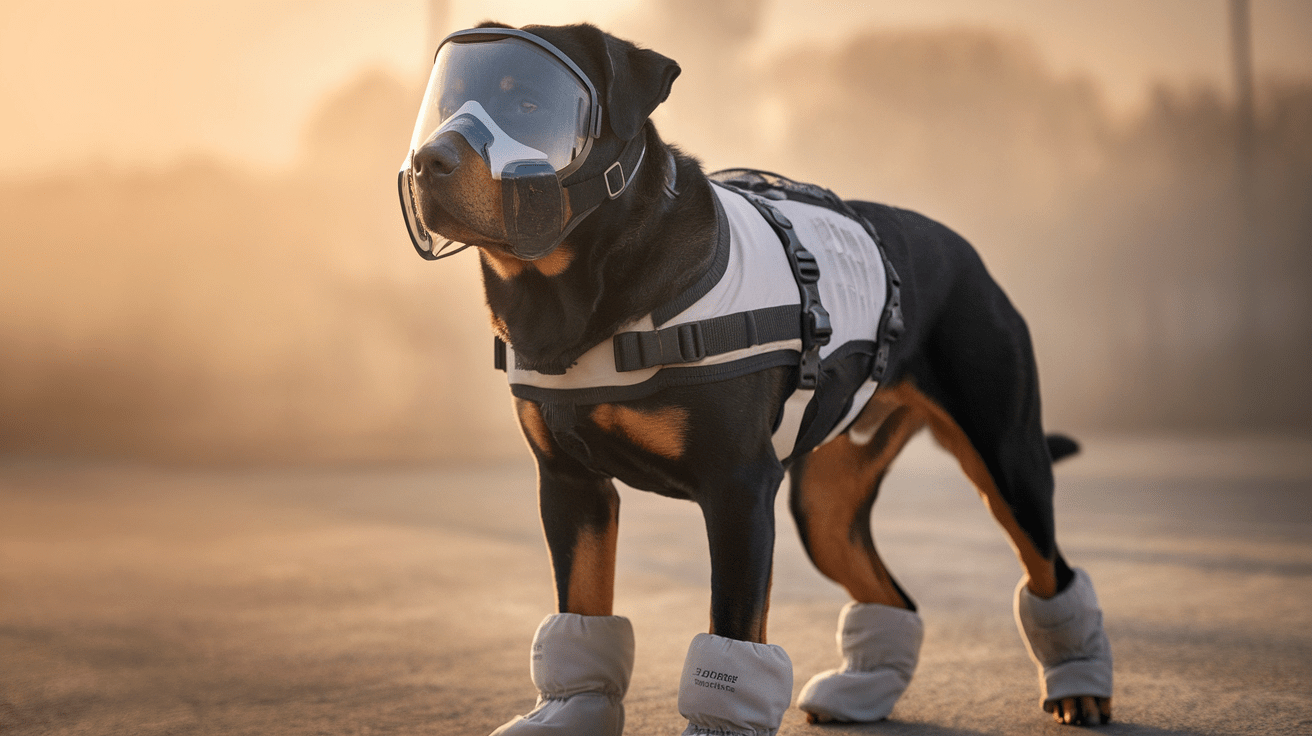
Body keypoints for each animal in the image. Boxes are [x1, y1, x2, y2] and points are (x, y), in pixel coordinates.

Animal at [401, 20, 1117, 729]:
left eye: (530, 105)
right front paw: (569, 710)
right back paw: (863, 690)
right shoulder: (570, 483)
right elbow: (582, 608)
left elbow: (733, 633)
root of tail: (963, 247)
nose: (428, 160)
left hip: (1007, 455)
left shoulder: (738, 487)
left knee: (1050, 571)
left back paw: (1078, 687)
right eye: (444, 102)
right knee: (893, 593)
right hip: (825, 501)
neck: (573, 291)